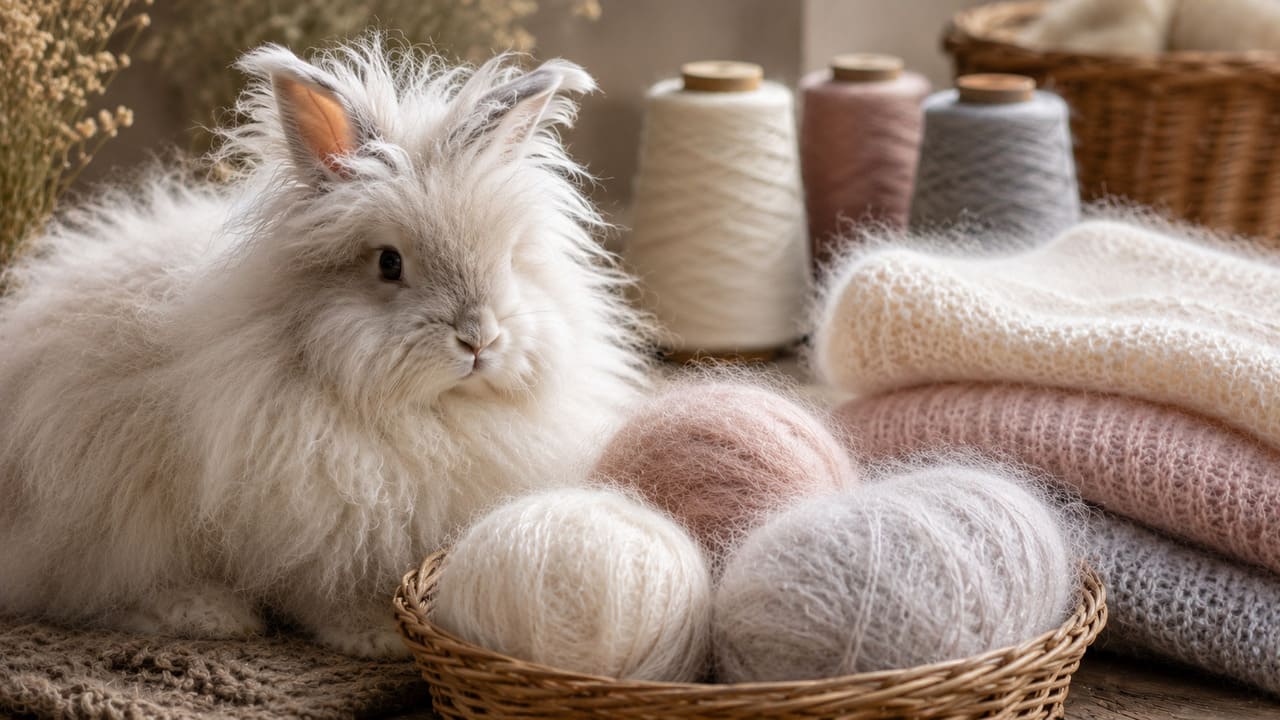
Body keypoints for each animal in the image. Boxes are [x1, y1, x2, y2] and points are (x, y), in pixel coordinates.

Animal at [0, 38, 651, 658]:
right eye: (389, 263)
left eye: (509, 259)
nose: (479, 338)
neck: (431, 414)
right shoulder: (311, 524)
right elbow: (323, 590)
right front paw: (376, 637)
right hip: (106, 516)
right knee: (93, 589)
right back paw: (209, 615)